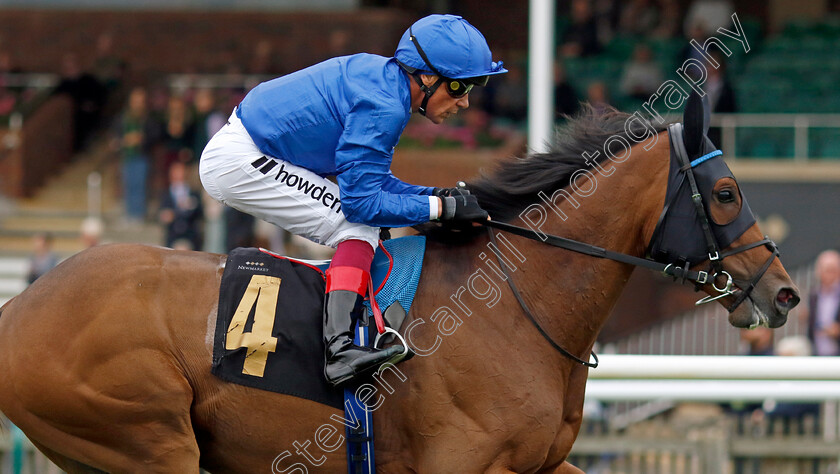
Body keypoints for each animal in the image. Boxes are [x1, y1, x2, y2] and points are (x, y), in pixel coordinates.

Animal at [0, 97, 800, 474]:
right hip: (146, 437)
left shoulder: (541, 462)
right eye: (726, 192)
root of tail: (19, 305)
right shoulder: (464, 465)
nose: (785, 293)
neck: (516, 307)